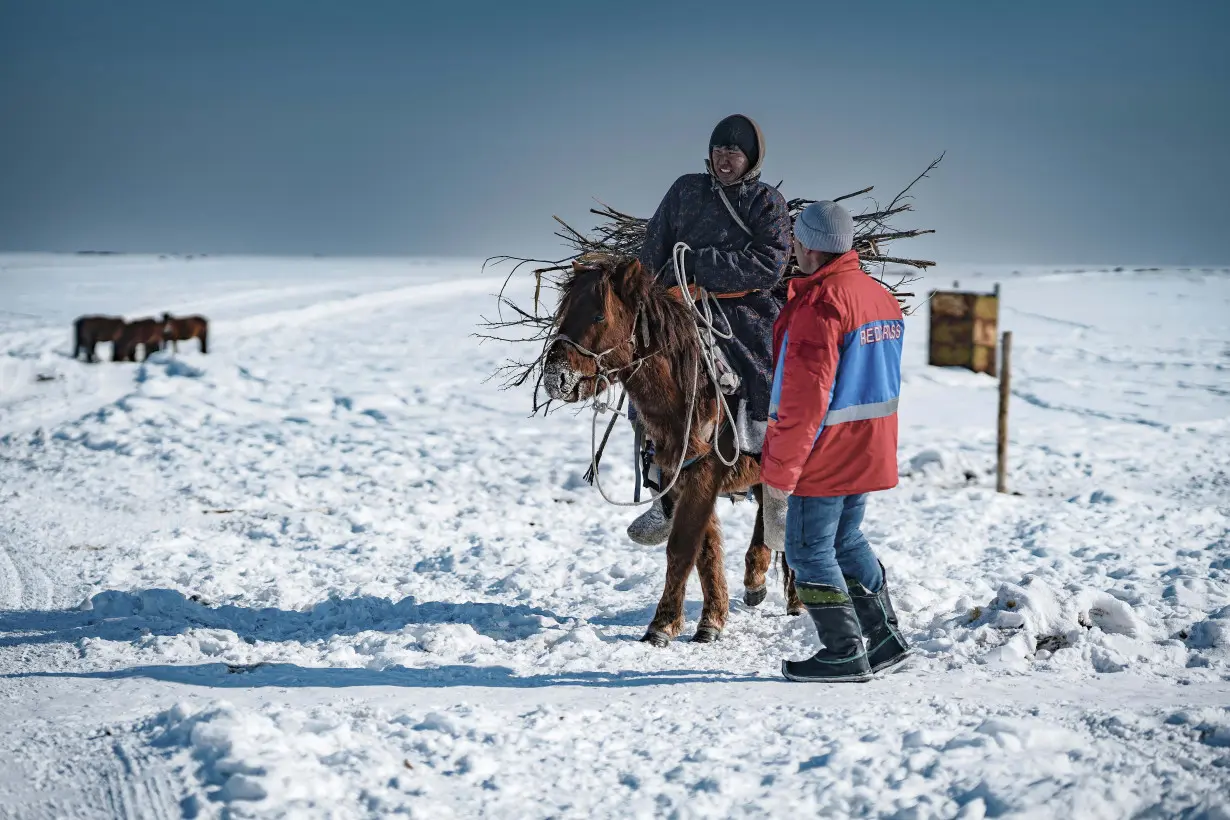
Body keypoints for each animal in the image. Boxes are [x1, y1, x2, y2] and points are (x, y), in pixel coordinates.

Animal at [543, 256, 801, 649]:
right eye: (564, 312)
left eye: (599, 315)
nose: (555, 377)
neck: (687, 391)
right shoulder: (679, 475)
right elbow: (705, 550)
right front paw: (711, 620)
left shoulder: (704, 474)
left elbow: (682, 546)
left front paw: (662, 626)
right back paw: (755, 581)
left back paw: (797, 599)